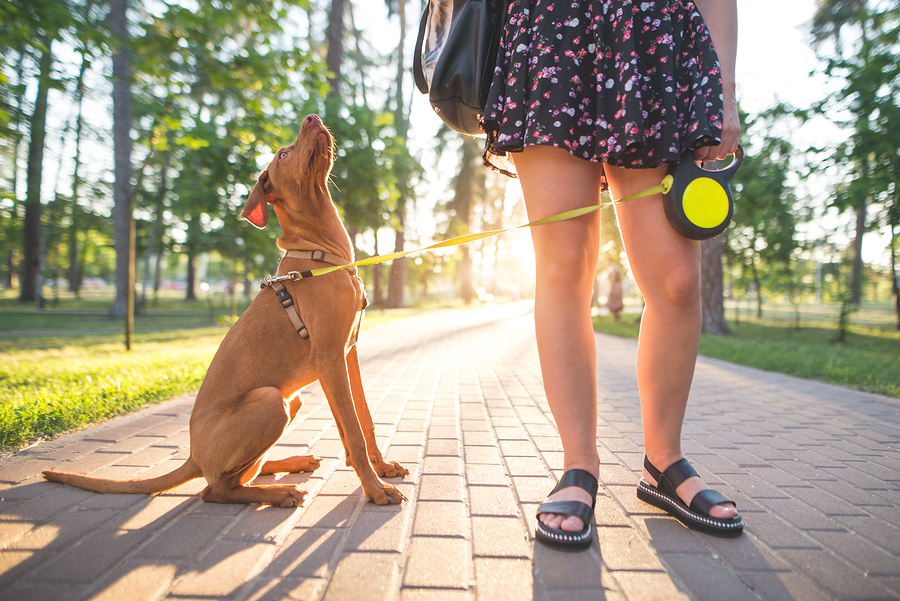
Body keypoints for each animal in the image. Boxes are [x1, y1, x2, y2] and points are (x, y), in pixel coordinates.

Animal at [43, 113, 408, 506]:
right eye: (282, 154)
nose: (312, 117)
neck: (321, 253)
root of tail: (193, 456)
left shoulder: (348, 352)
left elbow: (364, 419)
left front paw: (382, 468)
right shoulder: (328, 356)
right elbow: (352, 430)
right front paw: (375, 489)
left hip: (288, 400)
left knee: (247, 471)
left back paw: (291, 464)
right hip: (271, 400)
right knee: (216, 488)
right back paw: (280, 492)